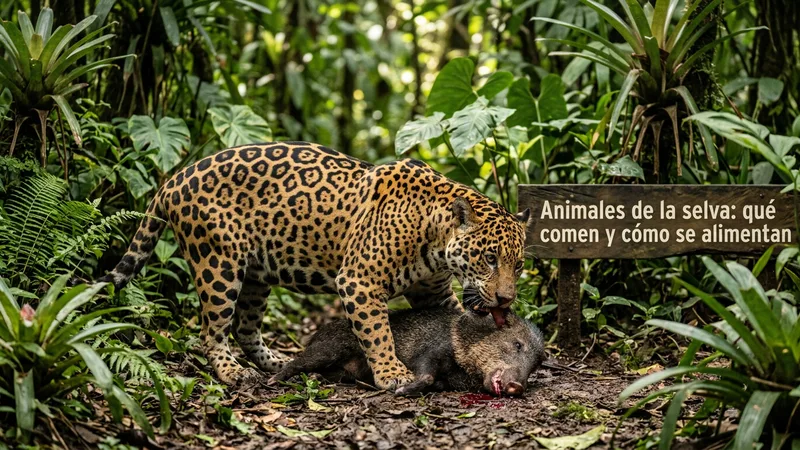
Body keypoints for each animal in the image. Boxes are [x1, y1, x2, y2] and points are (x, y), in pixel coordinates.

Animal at [99, 141, 532, 390]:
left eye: (519, 265)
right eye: (490, 258)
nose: (506, 300)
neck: (435, 236)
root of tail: (175, 177)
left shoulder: (434, 293)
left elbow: (453, 320)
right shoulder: (360, 281)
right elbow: (378, 333)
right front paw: (392, 374)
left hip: (256, 273)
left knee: (245, 327)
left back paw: (276, 361)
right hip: (219, 263)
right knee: (212, 329)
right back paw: (234, 373)